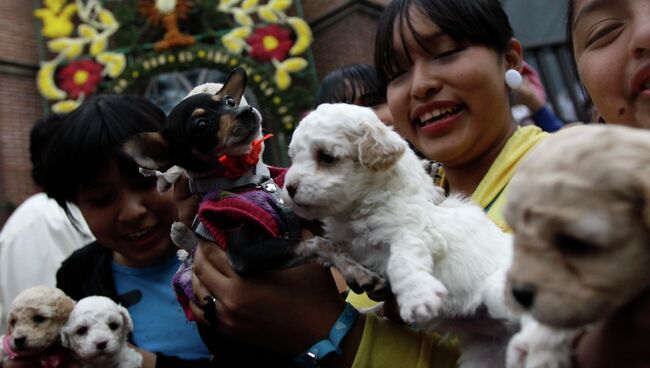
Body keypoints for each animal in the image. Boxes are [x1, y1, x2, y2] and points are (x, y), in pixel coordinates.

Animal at [282, 104, 516, 368]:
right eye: (293, 158)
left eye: (327, 157)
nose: (289, 187)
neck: (356, 209)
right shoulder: (350, 243)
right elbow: (328, 247)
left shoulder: (412, 231)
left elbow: (400, 261)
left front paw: (416, 297)